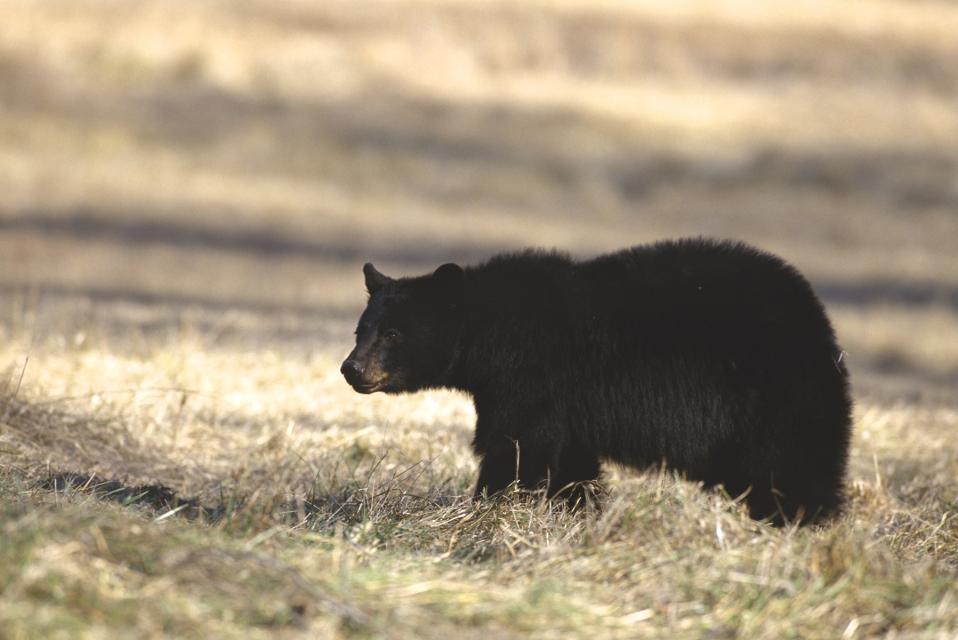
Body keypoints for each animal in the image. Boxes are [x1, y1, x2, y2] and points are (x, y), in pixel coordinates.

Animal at [341, 238, 853, 525]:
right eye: (361, 330)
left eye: (393, 334)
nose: (351, 369)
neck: (490, 334)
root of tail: (819, 322)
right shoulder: (564, 409)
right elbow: (570, 466)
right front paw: (578, 517)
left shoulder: (531, 380)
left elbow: (513, 449)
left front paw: (486, 509)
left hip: (771, 399)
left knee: (790, 467)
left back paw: (803, 525)